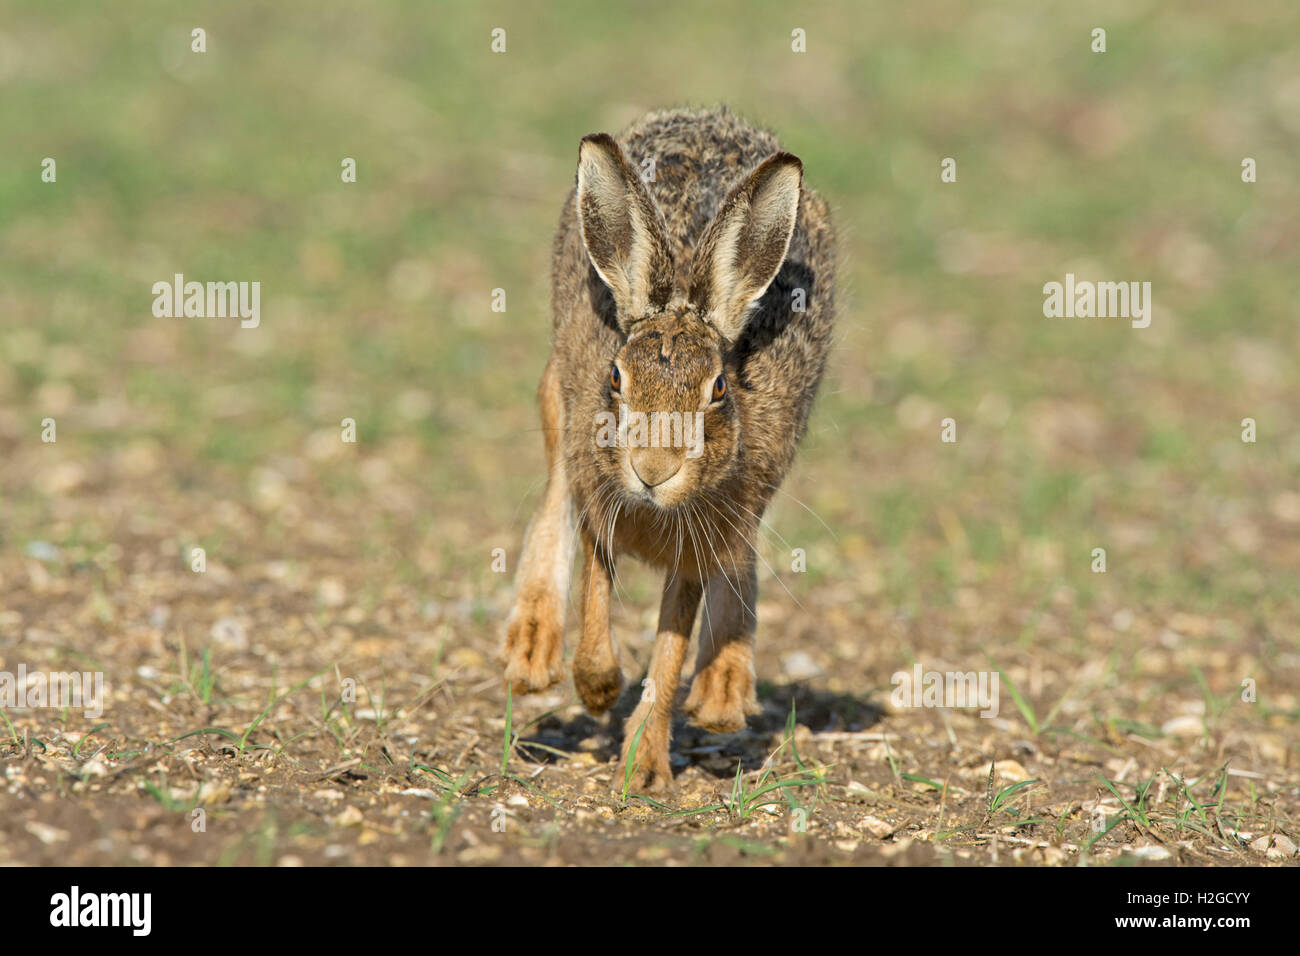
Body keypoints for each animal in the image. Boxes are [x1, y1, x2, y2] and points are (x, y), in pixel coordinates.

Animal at [501, 106, 835, 793]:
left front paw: (643, 768)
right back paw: (531, 652)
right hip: (555, 399)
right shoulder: (596, 498)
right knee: (551, 494)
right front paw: (598, 688)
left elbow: (670, 650)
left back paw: (722, 695)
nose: (652, 470)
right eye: (616, 377)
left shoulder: (698, 547)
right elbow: (596, 599)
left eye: (718, 389)